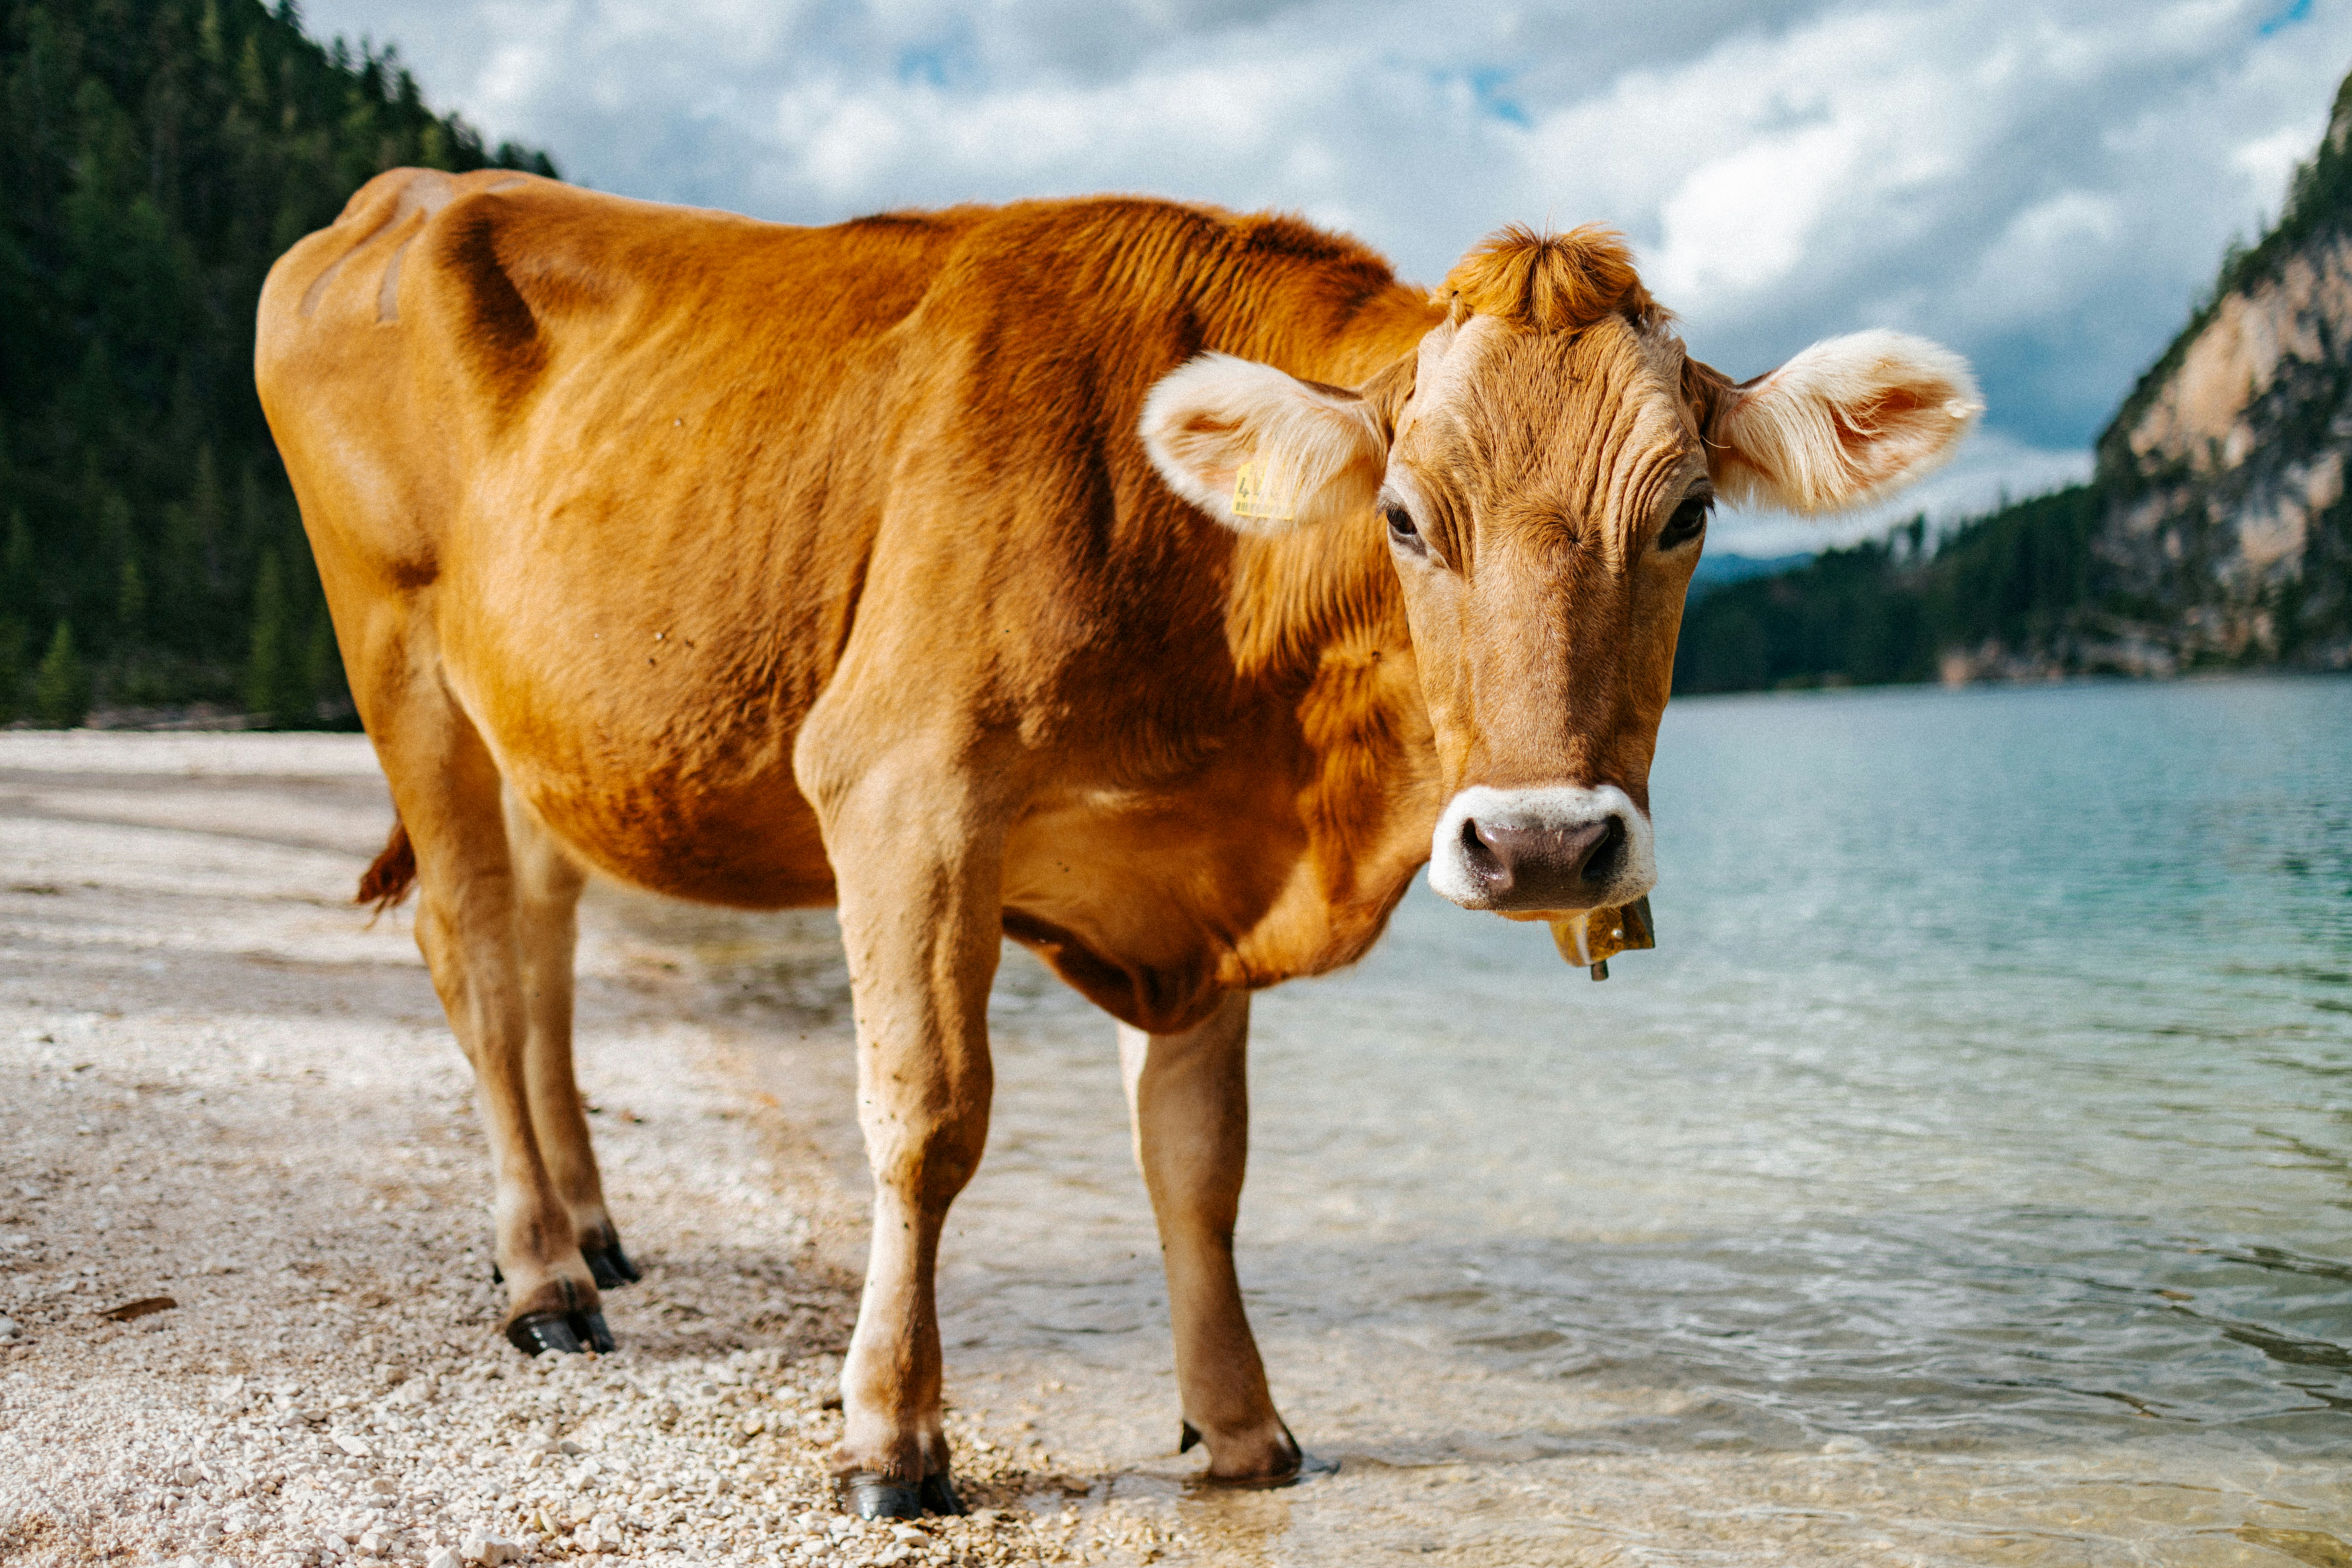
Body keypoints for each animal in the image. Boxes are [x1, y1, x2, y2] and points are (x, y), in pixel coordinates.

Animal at [255, 168, 1976, 1519]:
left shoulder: (1198, 887)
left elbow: (1198, 1162)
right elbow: (927, 1115)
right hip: (395, 650)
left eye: (1685, 515)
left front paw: (1244, 1425)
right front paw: (892, 1436)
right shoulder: (899, 783)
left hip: (549, 726)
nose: (1545, 842)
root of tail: (404, 193)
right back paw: (544, 1277)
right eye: (1406, 516)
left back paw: (596, 1234)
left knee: (545, 942)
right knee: (476, 951)